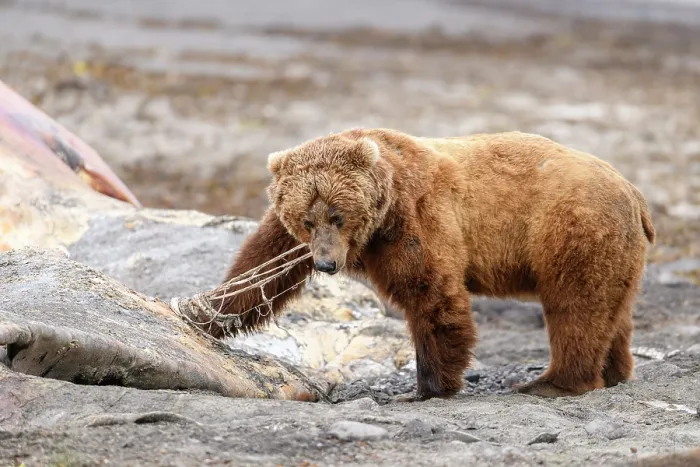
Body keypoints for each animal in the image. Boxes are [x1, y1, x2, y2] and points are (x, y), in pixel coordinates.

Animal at [209, 127, 655, 402]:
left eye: (338, 215)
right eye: (306, 219)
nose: (327, 263)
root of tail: (634, 192)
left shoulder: (416, 214)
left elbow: (430, 293)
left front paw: (426, 387)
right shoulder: (288, 235)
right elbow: (258, 269)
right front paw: (211, 316)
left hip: (571, 230)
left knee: (576, 307)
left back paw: (549, 383)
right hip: (614, 248)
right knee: (612, 310)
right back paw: (614, 372)